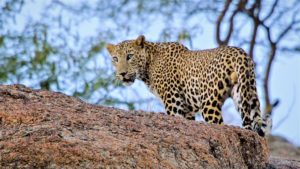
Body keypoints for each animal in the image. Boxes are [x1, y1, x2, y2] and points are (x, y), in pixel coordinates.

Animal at [106, 35, 266, 137]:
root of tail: (240, 52)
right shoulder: (187, 110)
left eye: (129, 56)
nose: (122, 74)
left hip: (210, 104)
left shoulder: (174, 104)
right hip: (246, 95)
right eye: (115, 59)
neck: (149, 64)